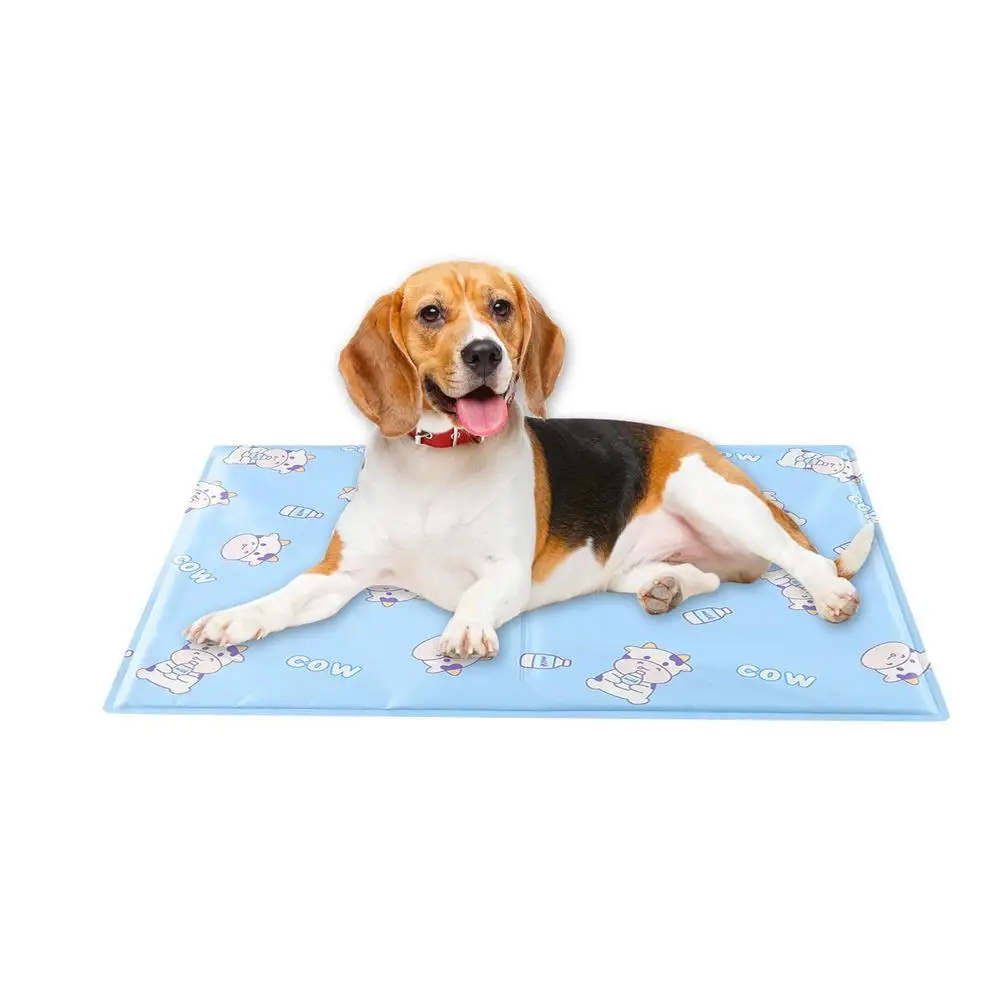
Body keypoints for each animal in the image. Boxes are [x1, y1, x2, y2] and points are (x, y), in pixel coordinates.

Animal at [186, 261, 874, 658]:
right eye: (431, 313)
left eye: (501, 308)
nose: (485, 353)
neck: (437, 465)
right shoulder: (339, 575)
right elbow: (281, 600)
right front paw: (233, 619)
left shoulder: (507, 571)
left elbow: (476, 594)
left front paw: (466, 629)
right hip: (639, 560)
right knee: (704, 576)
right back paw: (667, 587)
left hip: (710, 495)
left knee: (803, 559)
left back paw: (829, 594)